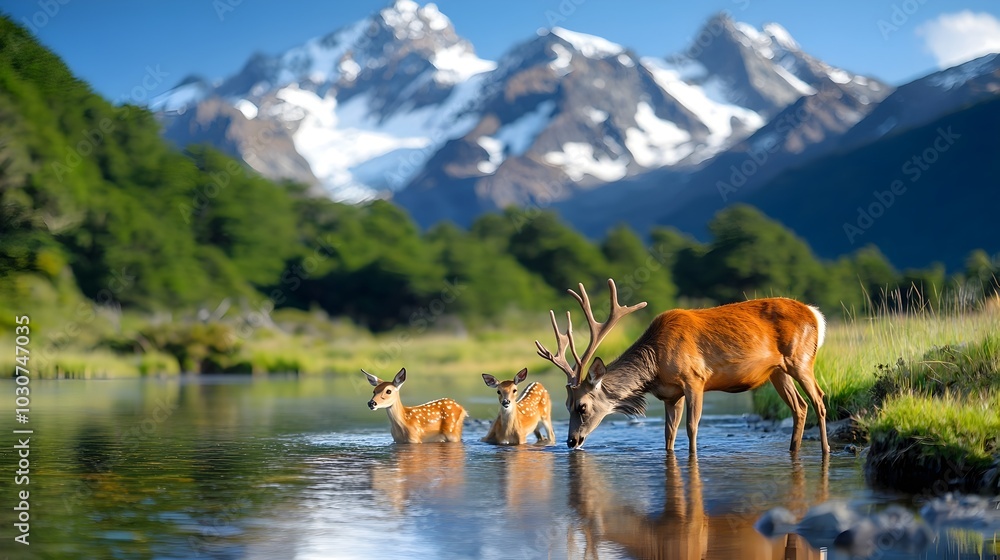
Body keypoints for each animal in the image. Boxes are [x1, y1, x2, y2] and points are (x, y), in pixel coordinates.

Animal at [535, 278, 830, 455]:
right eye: (565, 405)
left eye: (582, 406)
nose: (571, 441)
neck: (655, 364)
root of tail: (816, 314)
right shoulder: (670, 394)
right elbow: (669, 433)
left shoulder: (694, 379)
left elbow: (692, 426)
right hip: (777, 372)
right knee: (799, 406)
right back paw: (793, 450)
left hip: (801, 359)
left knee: (819, 399)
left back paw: (825, 450)